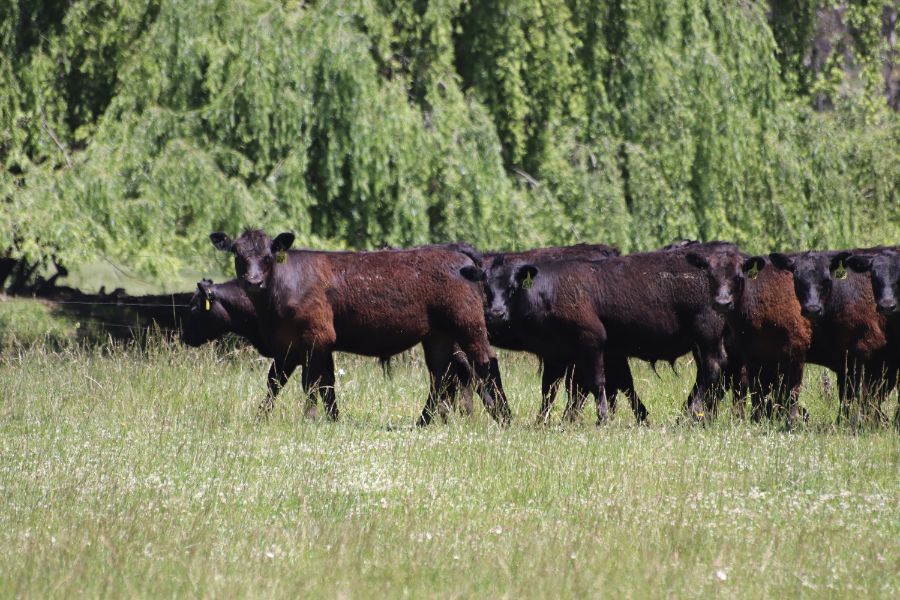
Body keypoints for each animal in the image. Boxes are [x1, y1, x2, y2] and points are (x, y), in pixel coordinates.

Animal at [209, 230, 509, 426]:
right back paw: (423, 422)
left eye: (269, 255)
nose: (253, 281)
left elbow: (311, 382)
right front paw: (264, 418)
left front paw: (310, 419)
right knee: (442, 375)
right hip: (438, 335)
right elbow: (284, 381)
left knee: (484, 362)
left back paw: (504, 416)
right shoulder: (290, 345)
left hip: (467, 323)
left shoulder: (315, 336)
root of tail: (455, 250)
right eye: (237, 254)